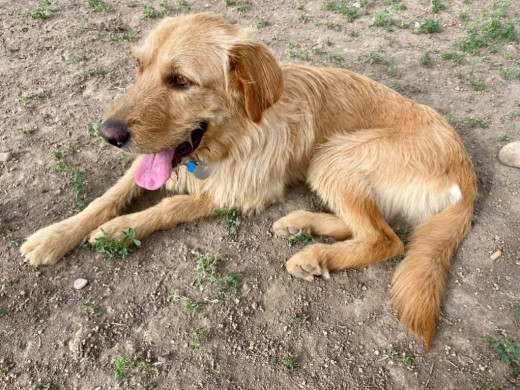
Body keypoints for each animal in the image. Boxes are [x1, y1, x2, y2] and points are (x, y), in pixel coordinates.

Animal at [19, 12, 476, 350]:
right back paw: (301, 225)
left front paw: (120, 228)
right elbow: (107, 196)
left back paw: (315, 254)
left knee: (386, 239)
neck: (230, 137)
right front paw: (55, 236)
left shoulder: (240, 190)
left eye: (180, 81)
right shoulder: (154, 160)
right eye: (139, 66)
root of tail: (466, 172)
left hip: (334, 155)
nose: (107, 133)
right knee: (367, 225)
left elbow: (170, 205)